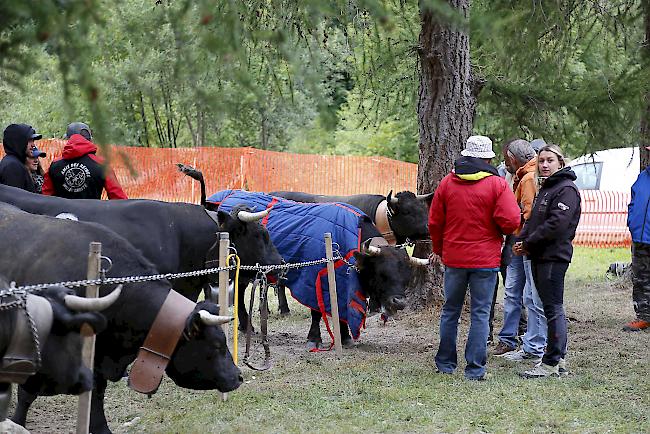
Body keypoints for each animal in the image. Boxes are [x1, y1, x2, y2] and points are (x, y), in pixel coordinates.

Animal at [0, 205, 242, 434]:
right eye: (217, 345)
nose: (238, 376)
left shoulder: (98, 357)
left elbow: (96, 394)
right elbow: (27, 393)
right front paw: (16, 422)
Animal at [205, 190, 422, 350]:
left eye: (407, 276)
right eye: (382, 274)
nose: (399, 302)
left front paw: (345, 336)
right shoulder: (314, 278)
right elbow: (317, 312)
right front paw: (314, 337)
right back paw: (246, 325)